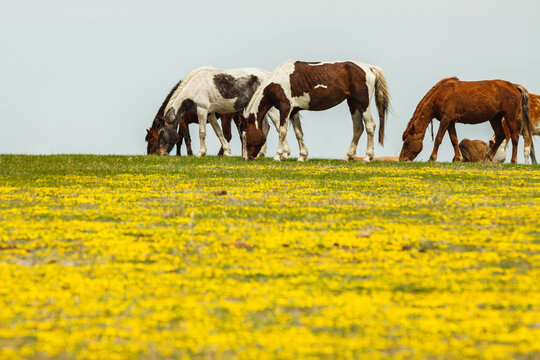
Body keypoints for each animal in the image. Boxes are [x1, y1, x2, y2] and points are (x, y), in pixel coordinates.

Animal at [155, 67, 288, 158]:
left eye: (161, 133)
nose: (160, 153)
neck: (194, 88)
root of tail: (270, 75)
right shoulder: (210, 114)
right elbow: (218, 132)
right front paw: (227, 151)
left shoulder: (202, 110)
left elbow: (202, 132)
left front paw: (201, 153)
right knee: (265, 126)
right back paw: (261, 153)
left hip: (268, 106)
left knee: (278, 124)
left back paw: (284, 153)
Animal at [243, 60, 390, 162]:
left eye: (245, 136)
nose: (246, 158)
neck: (277, 82)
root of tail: (369, 68)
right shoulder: (294, 111)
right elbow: (298, 133)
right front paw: (302, 156)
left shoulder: (285, 108)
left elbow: (282, 131)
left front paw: (278, 156)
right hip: (353, 104)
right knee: (358, 128)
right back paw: (348, 157)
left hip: (362, 103)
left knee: (370, 126)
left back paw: (367, 157)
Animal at [398, 79, 532, 165]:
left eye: (407, 143)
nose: (402, 159)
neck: (441, 95)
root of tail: (514, 86)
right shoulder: (451, 122)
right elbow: (454, 140)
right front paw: (458, 158)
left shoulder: (446, 120)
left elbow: (438, 139)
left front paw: (432, 158)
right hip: (495, 118)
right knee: (500, 136)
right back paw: (487, 158)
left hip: (509, 117)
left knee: (514, 137)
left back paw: (513, 160)